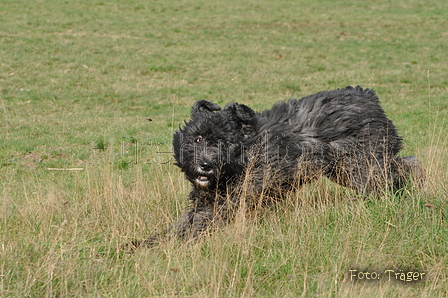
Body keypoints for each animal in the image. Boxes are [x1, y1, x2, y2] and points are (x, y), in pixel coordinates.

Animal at [131, 85, 422, 247]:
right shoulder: (205, 203)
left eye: (223, 141)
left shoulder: (230, 203)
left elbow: (194, 228)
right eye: (197, 138)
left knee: (391, 176)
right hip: (351, 166)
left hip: (360, 164)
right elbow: (179, 226)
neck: (246, 151)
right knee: (401, 166)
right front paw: (141, 243)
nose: (206, 165)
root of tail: (368, 96)